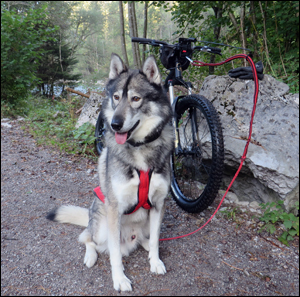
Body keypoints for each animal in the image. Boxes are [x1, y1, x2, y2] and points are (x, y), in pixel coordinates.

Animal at [46, 52, 173, 290]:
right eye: (115, 97)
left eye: (135, 98)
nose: (114, 124)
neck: (139, 147)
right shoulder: (115, 209)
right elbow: (114, 255)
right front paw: (120, 279)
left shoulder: (158, 205)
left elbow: (155, 241)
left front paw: (155, 261)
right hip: (102, 224)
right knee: (87, 238)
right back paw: (90, 256)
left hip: (143, 223)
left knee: (145, 239)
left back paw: (144, 245)